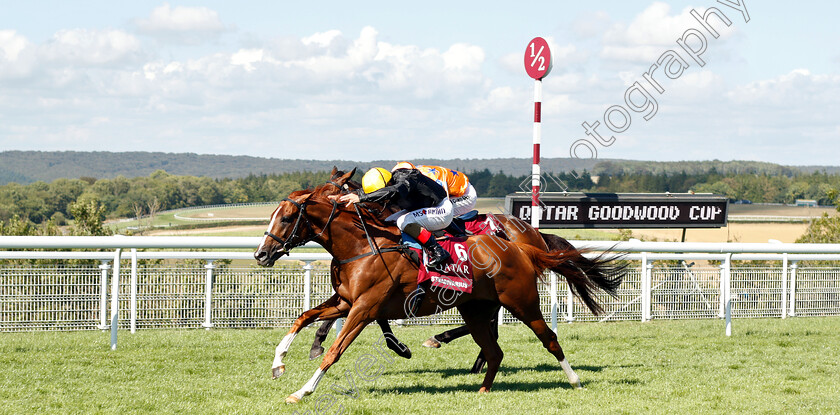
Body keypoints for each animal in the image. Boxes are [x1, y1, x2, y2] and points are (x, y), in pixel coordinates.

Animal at [253, 171, 628, 404]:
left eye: (286, 218)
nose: (261, 254)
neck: (362, 245)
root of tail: (522, 246)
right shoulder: (346, 301)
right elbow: (303, 318)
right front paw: (278, 364)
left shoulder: (364, 308)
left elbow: (335, 350)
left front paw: (302, 392)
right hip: (475, 308)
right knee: (494, 350)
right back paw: (481, 388)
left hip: (522, 302)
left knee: (548, 338)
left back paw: (574, 380)